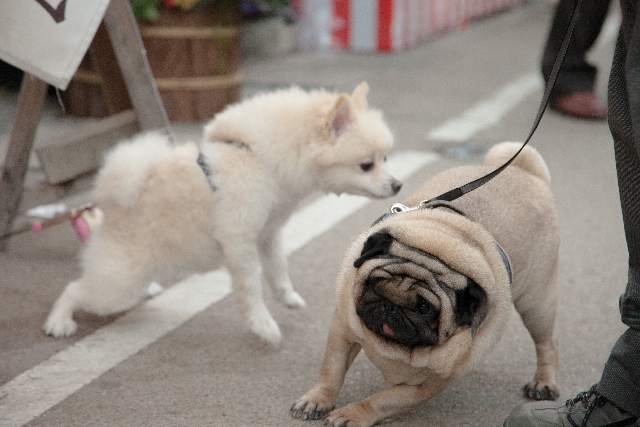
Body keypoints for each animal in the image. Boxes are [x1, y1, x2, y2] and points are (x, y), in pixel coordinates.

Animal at [292, 142, 556, 426]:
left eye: (424, 308)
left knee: (546, 344)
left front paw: (353, 413)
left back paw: (543, 384)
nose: (390, 307)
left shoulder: (426, 384)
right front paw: (317, 400)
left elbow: (381, 401)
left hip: (537, 304)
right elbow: (331, 371)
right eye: (375, 285)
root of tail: (527, 173)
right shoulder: (342, 331)